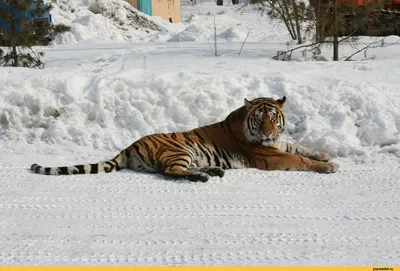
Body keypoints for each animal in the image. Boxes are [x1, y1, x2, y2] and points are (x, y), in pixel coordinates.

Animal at [29, 96, 340, 184]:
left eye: (273, 118)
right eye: (259, 118)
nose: (266, 132)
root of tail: (130, 145)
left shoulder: (278, 144)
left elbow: (301, 147)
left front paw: (325, 154)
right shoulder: (270, 156)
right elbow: (299, 158)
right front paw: (328, 166)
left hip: (188, 153)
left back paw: (213, 171)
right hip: (179, 149)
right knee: (170, 172)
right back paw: (203, 177)